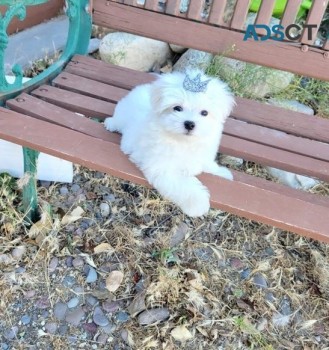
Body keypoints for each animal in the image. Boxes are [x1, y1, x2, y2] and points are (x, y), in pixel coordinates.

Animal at [104, 70, 234, 216]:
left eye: (204, 113)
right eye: (177, 108)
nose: (189, 124)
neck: (184, 142)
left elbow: (206, 163)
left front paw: (222, 172)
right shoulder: (163, 169)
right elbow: (184, 186)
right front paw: (197, 203)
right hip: (122, 114)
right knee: (117, 120)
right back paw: (110, 123)